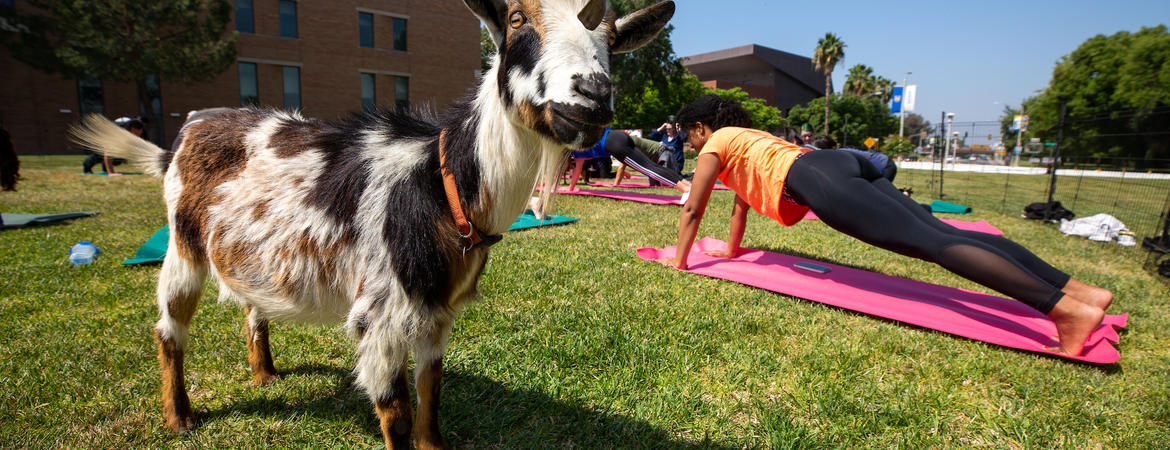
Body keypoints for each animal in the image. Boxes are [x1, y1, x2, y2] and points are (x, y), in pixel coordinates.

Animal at [69, 0, 674, 447]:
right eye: (518, 19)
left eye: (612, 41)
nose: (592, 94)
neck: (440, 181)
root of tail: (184, 134)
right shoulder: (381, 315)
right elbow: (397, 414)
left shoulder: (435, 311)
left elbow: (432, 394)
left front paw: (435, 439)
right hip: (183, 245)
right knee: (168, 329)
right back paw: (180, 417)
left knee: (251, 306)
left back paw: (264, 374)